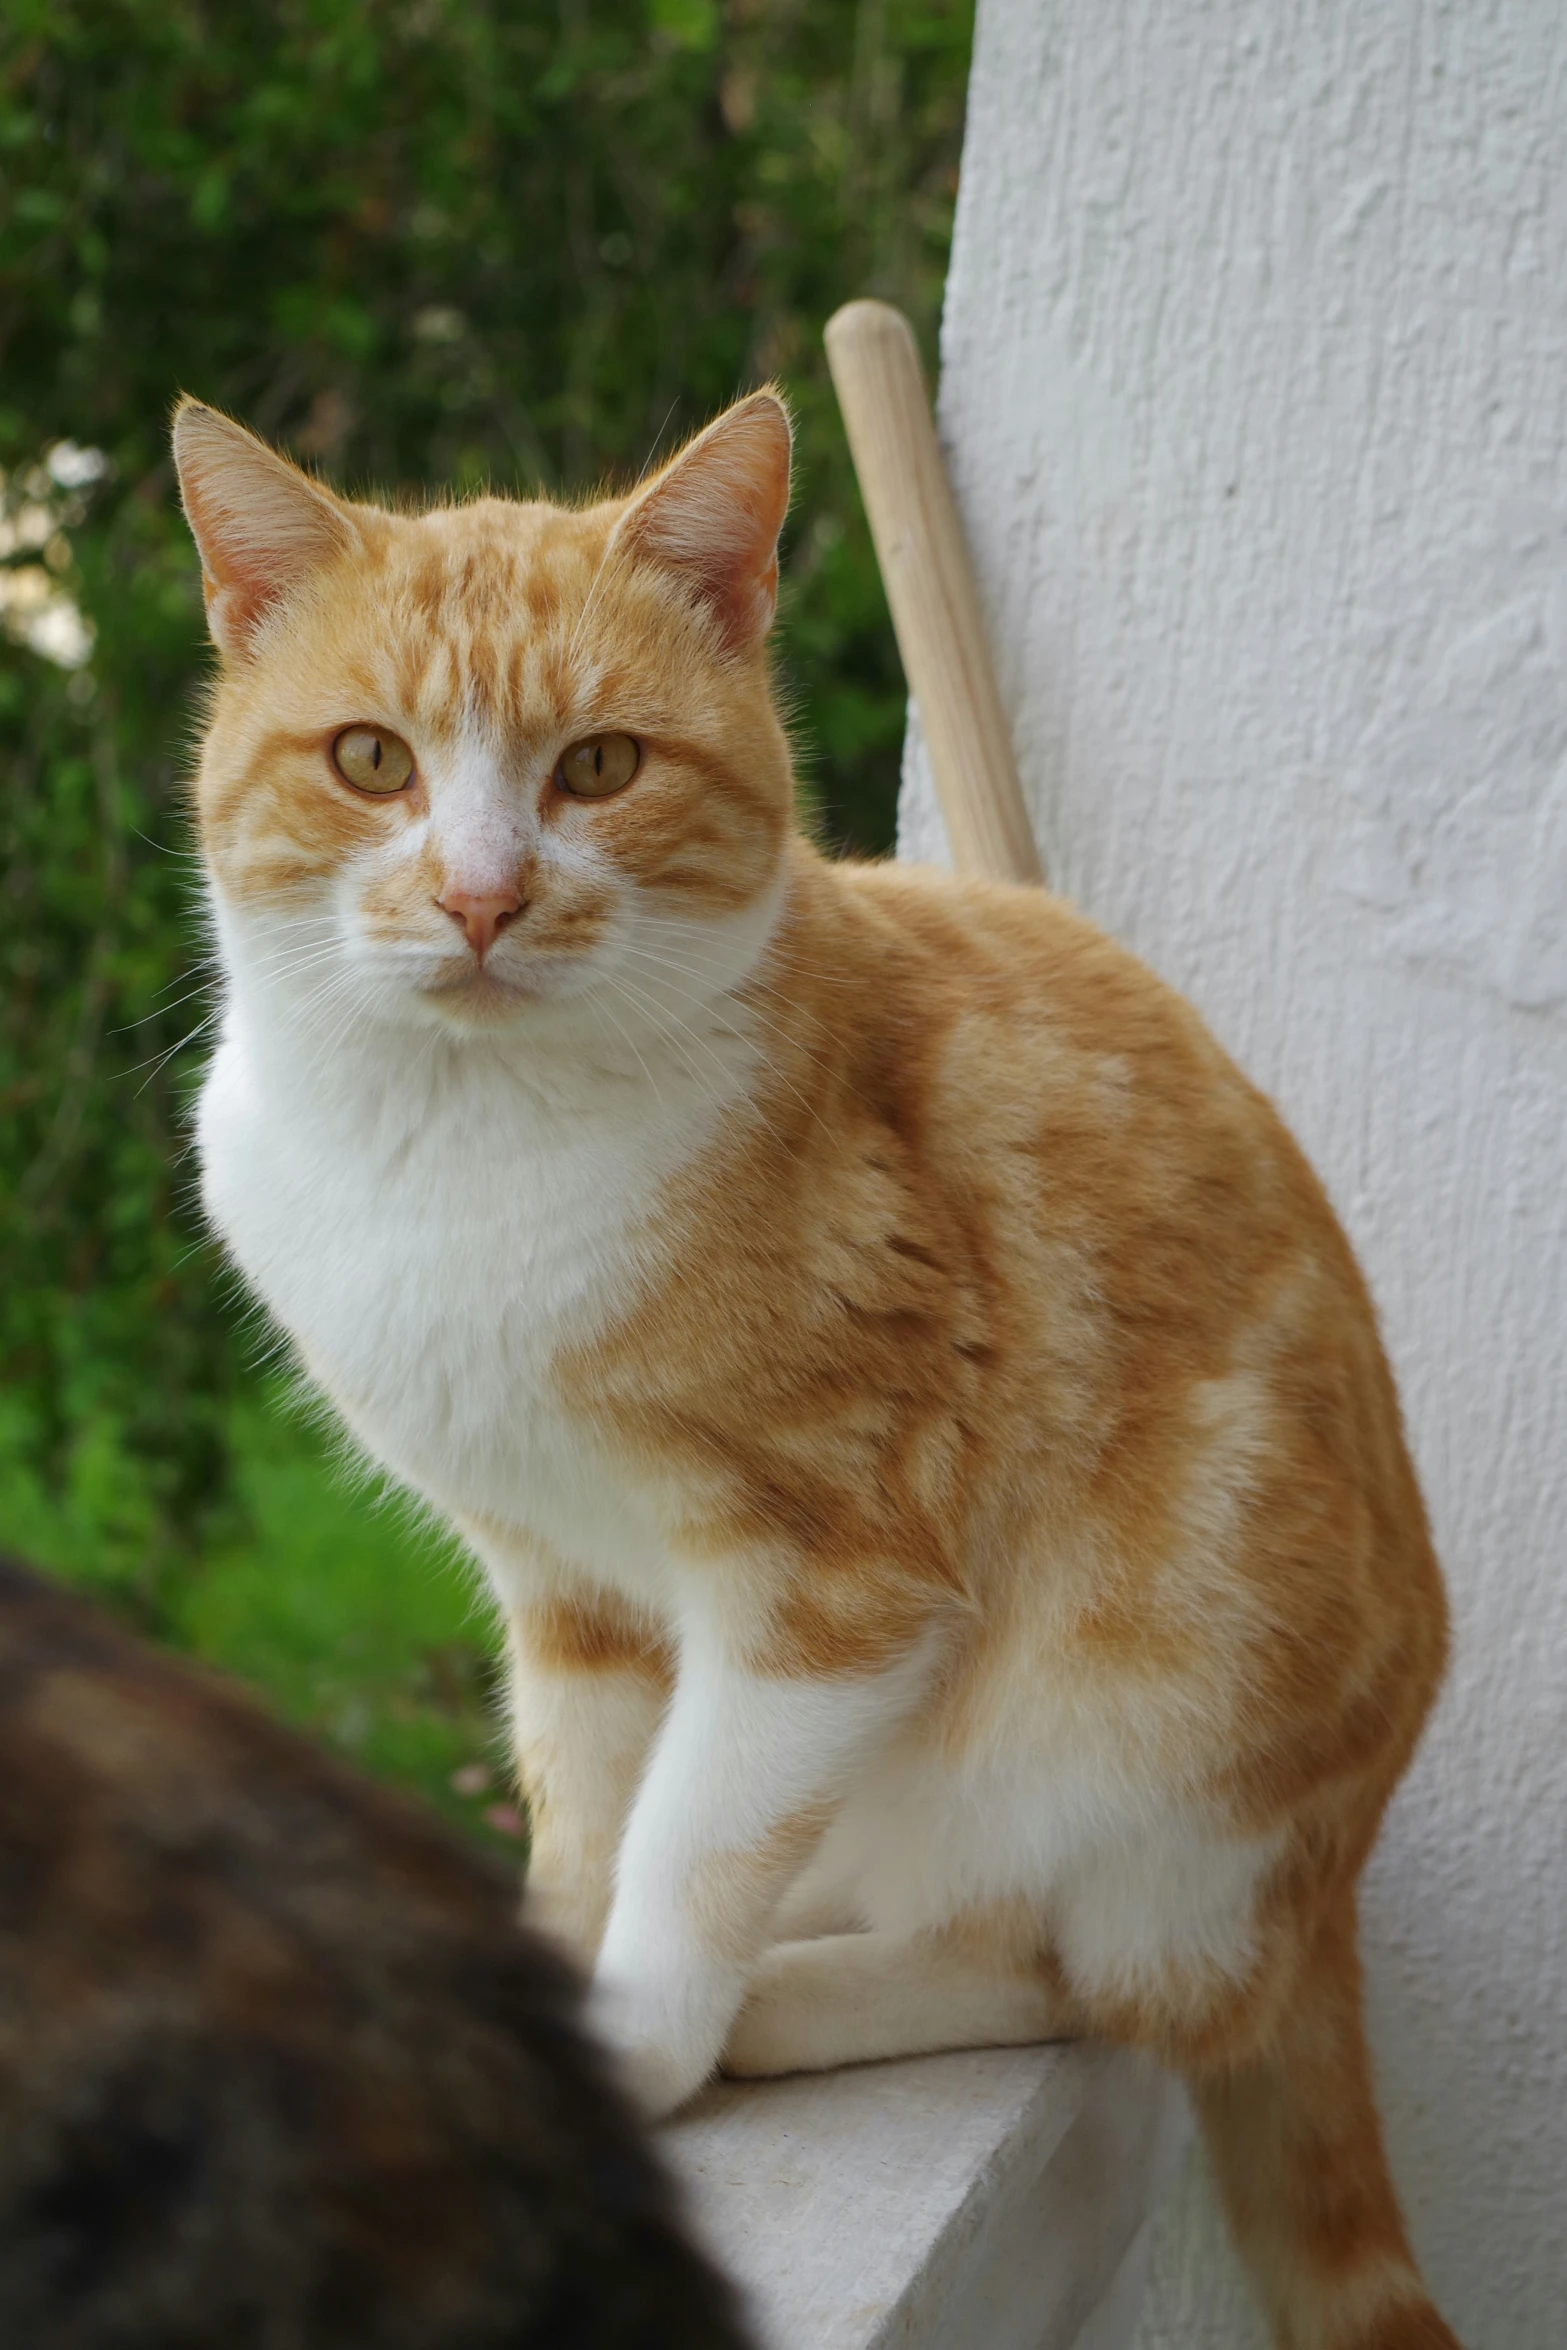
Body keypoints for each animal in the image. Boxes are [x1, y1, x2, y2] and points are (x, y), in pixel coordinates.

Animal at [177, 390, 1465, 2350]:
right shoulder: (563, 1585)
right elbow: (590, 1811)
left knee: (1070, 1972)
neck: (455, 1150)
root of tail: (1322, 1894)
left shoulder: (836, 1569)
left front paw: (642, 2041)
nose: (480, 897)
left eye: (600, 768)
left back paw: (785, 2002)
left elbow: (698, 1836)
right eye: (370, 760)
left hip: (1141, 1707)